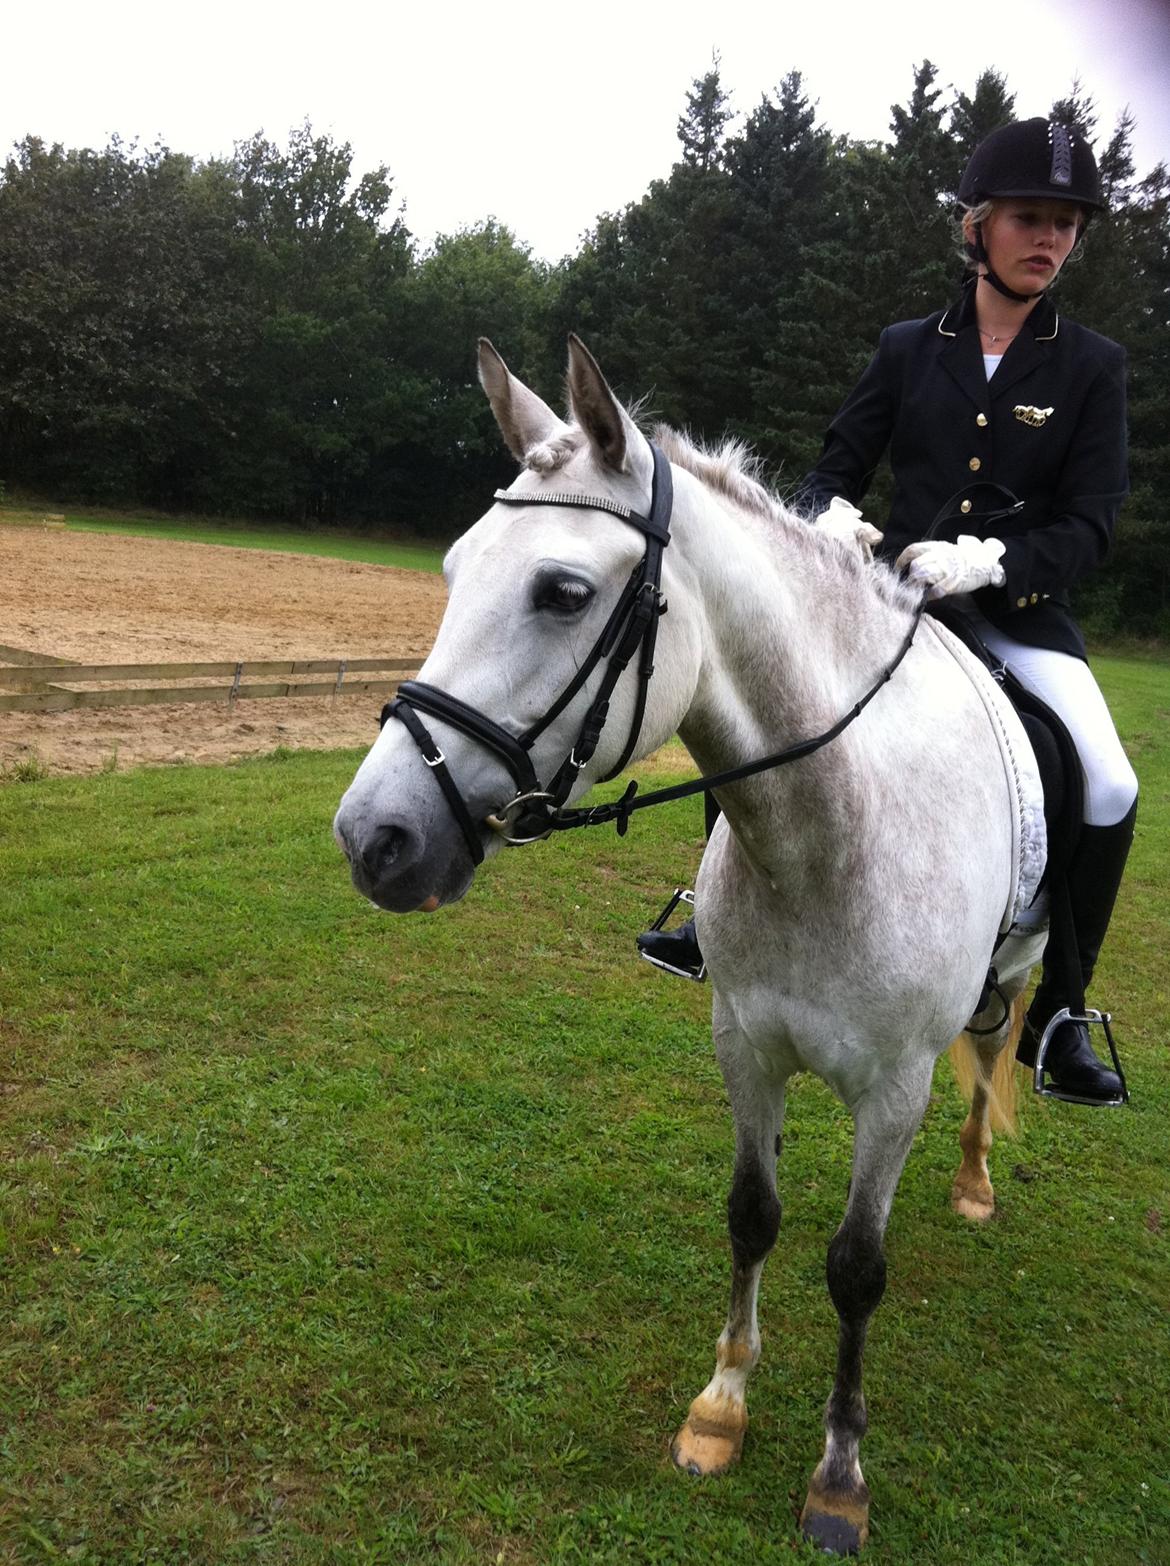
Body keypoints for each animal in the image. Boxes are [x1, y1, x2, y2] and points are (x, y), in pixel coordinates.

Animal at [333, 335, 1049, 1555]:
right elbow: (752, 1217)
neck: (827, 837)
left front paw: (838, 1477)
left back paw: (973, 1182)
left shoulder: (894, 1090)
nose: (376, 839)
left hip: (1010, 979)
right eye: (455, 568)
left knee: (994, 1049)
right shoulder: (744, 1045)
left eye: (564, 592)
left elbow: (856, 1269)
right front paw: (720, 1407)